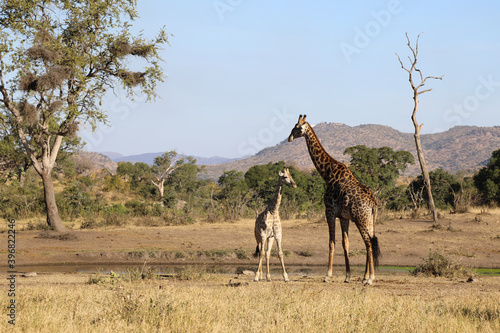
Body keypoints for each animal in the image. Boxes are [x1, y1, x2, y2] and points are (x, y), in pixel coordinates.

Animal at [288, 115, 380, 284]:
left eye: (296, 127)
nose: (289, 138)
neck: (327, 173)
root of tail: (373, 203)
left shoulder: (329, 212)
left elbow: (331, 243)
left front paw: (327, 275)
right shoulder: (344, 217)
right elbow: (345, 244)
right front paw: (347, 276)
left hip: (361, 218)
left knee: (369, 242)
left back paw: (370, 278)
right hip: (371, 219)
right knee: (371, 241)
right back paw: (365, 276)